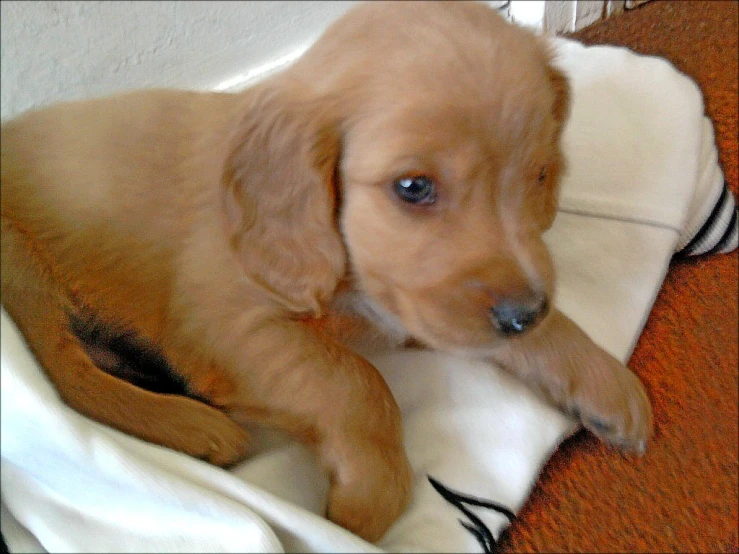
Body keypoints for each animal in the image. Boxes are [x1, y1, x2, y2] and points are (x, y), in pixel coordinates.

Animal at [1, 0, 652, 540]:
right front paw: (369, 496)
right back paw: (191, 427)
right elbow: (356, 384)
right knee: (63, 377)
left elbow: (541, 326)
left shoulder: (419, 305)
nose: (522, 316)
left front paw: (606, 384)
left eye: (540, 174)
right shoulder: (225, 325)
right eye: (413, 187)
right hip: (21, 267)